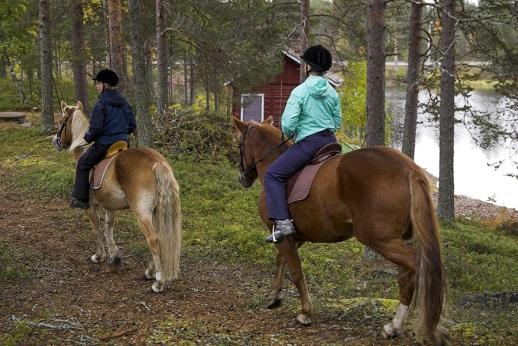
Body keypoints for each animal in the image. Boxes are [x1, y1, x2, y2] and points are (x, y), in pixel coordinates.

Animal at [54, 100, 184, 292]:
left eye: (62, 121)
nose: (55, 141)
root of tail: (156, 162)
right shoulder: (110, 207)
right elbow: (108, 229)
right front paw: (114, 257)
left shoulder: (91, 206)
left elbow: (98, 229)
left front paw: (99, 256)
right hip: (155, 210)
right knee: (159, 237)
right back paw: (149, 272)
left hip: (142, 214)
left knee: (153, 239)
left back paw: (158, 281)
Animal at [236, 117, 450, 344]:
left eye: (239, 144)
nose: (243, 178)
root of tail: (409, 167)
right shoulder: (292, 237)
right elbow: (282, 261)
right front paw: (274, 295)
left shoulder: (284, 236)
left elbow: (296, 272)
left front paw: (305, 312)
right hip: (397, 240)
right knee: (407, 277)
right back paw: (394, 326)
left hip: (381, 240)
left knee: (419, 269)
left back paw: (423, 325)